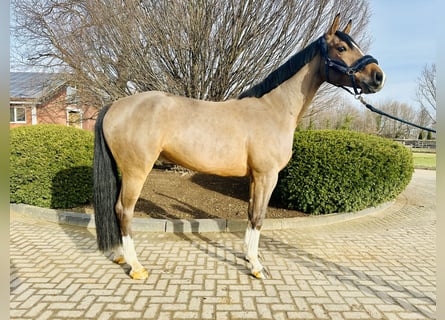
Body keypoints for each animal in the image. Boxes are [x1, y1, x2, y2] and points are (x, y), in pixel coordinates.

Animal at [93, 14, 386, 280]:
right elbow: (258, 217)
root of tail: (115, 105)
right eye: (342, 48)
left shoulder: (256, 177)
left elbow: (250, 214)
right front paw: (256, 267)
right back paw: (136, 267)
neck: (274, 109)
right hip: (136, 171)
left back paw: (120, 256)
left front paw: (248, 256)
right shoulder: (268, 176)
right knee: (124, 211)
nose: (378, 76)